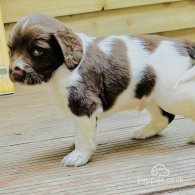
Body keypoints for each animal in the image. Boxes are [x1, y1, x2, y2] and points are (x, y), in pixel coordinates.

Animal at [9, 13, 195, 166]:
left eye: (37, 51)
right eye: (11, 49)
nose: (15, 71)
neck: (63, 67)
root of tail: (183, 43)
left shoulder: (83, 104)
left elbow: (84, 135)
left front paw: (79, 155)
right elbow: (79, 130)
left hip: (173, 95)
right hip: (151, 92)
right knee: (164, 116)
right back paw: (145, 132)